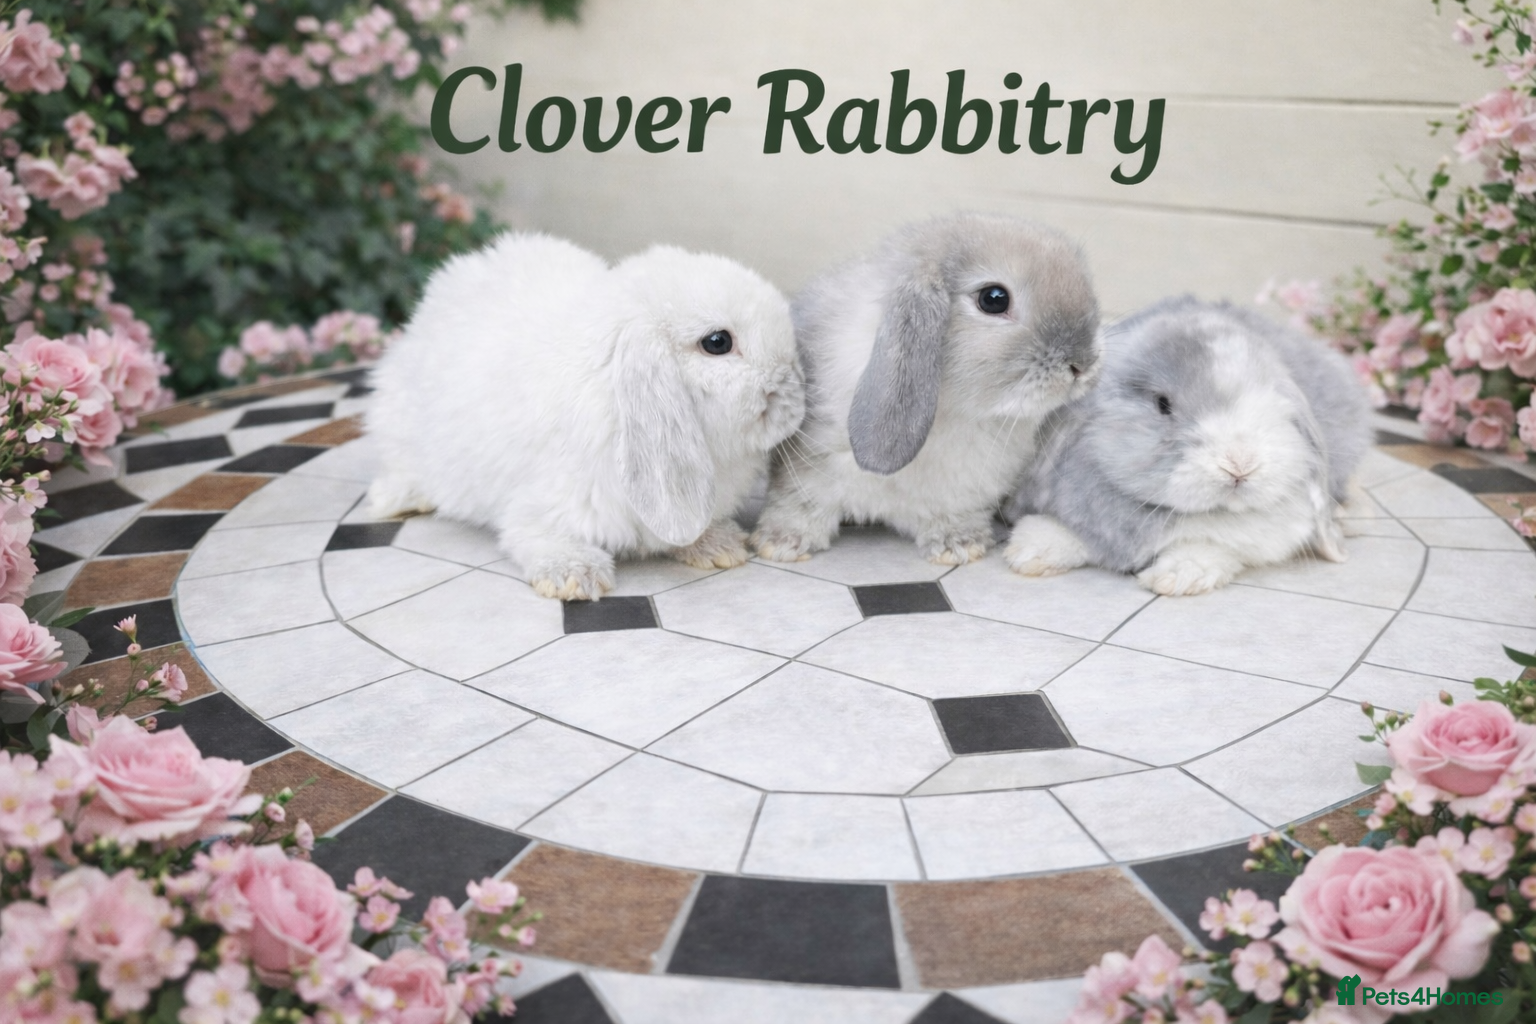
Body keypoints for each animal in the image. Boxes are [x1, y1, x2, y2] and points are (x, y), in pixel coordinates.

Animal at [365, 231, 805, 601]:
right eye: (717, 342)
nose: (799, 393)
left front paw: (719, 545)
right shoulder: (544, 505)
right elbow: (532, 535)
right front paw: (575, 576)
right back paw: (398, 502)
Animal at [750, 212, 1102, 566]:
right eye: (993, 299)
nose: (1083, 364)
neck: (953, 410)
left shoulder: (964, 492)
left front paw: (959, 546)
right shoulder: (807, 467)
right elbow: (799, 504)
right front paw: (781, 544)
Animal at [1002, 296, 1373, 596]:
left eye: (1274, 401)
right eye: (1163, 404)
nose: (1240, 465)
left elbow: (1209, 546)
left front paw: (1177, 578)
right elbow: (1062, 529)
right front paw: (1029, 553)